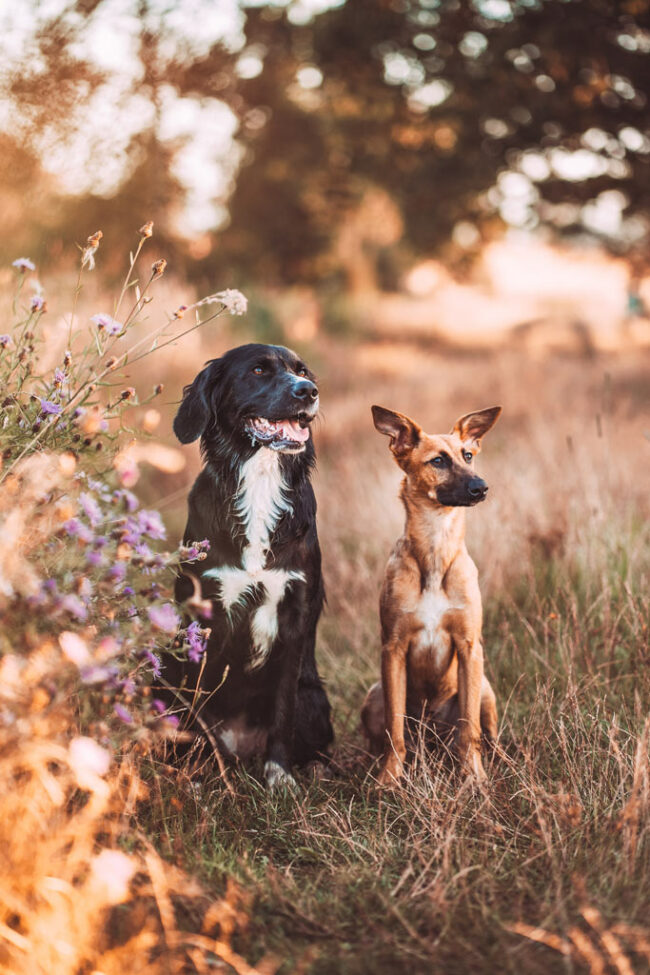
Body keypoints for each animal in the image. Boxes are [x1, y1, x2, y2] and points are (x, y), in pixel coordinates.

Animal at [167, 346, 332, 788]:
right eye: (259, 370)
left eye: (302, 371)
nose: (309, 391)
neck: (260, 483)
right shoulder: (204, 614)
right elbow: (198, 707)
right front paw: (195, 774)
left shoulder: (294, 613)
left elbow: (282, 710)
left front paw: (279, 774)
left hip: (316, 698)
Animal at [360, 404, 502, 784]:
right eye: (438, 461)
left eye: (468, 456)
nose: (482, 487)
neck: (437, 550)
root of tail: (432, 734)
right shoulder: (393, 647)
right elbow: (394, 731)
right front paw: (389, 779)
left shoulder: (469, 646)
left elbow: (470, 730)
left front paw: (474, 777)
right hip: (374, 695)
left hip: (485, 690)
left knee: (487, 735)